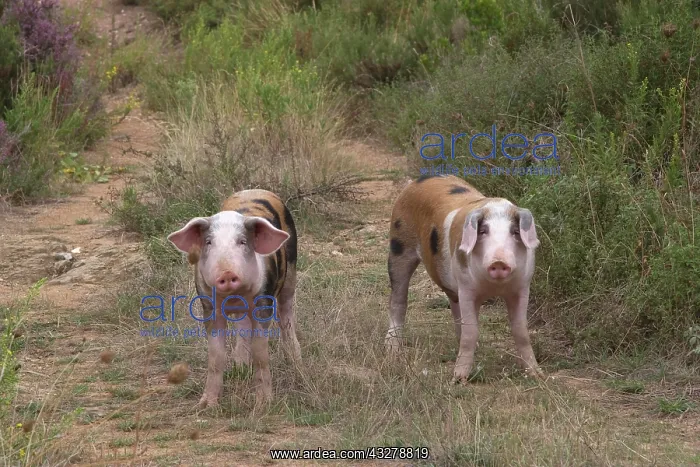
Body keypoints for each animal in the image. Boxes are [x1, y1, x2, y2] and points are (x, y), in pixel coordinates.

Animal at [167, 189, 301, 408]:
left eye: (242, 242)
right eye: (209, 242)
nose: (227, 272)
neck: (234, 297)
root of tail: (255, 190)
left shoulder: (263, 304)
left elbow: (261, 354)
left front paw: (263, 404)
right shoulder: (209, 306)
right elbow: (215, 356)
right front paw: (206, 405)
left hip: (291, 271)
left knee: (286, 314)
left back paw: (296, 360)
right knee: (243, 325)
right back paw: (241, 366)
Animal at [385, 174, 544, 383]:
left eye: (515, 231)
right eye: (483, 231)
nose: (499, 261)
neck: (494, 287)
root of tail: (417, 181)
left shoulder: (522, 287)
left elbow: (521, 330)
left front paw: (537, 374)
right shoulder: (467, 288)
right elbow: (471, 331)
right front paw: (458, 380)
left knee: (454, 307)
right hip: (398, 246)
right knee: (398, 299)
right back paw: (392, 350)